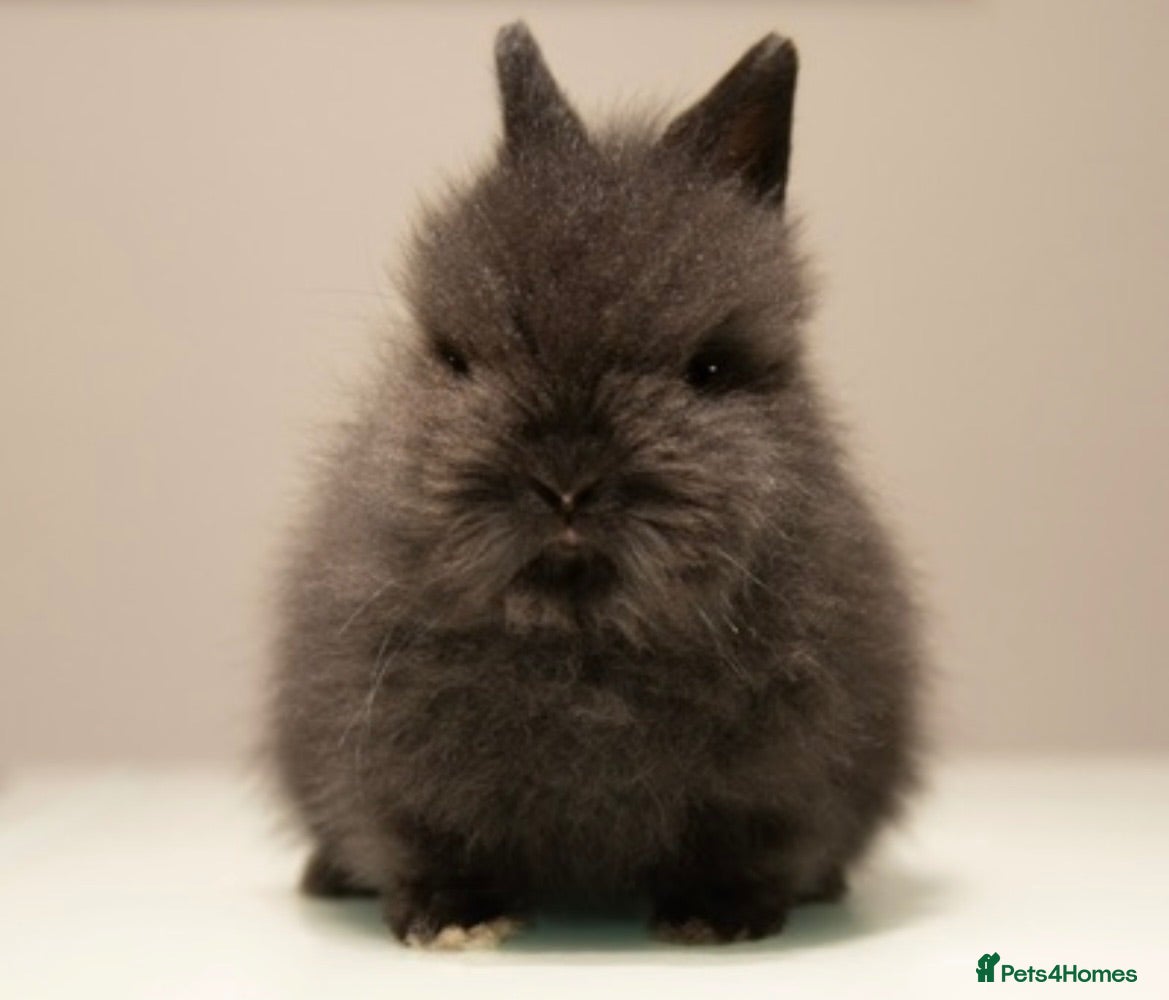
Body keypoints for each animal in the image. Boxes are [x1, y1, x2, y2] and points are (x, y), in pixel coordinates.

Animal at [269, 21, 923, 948]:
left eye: (709, 368)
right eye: (455, 357)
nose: (565, 481)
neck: (581, 642)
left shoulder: (788, 778)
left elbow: (750, 839)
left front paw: (715, 918)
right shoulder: (379, 753)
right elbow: (421, 830)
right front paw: (454, 919)